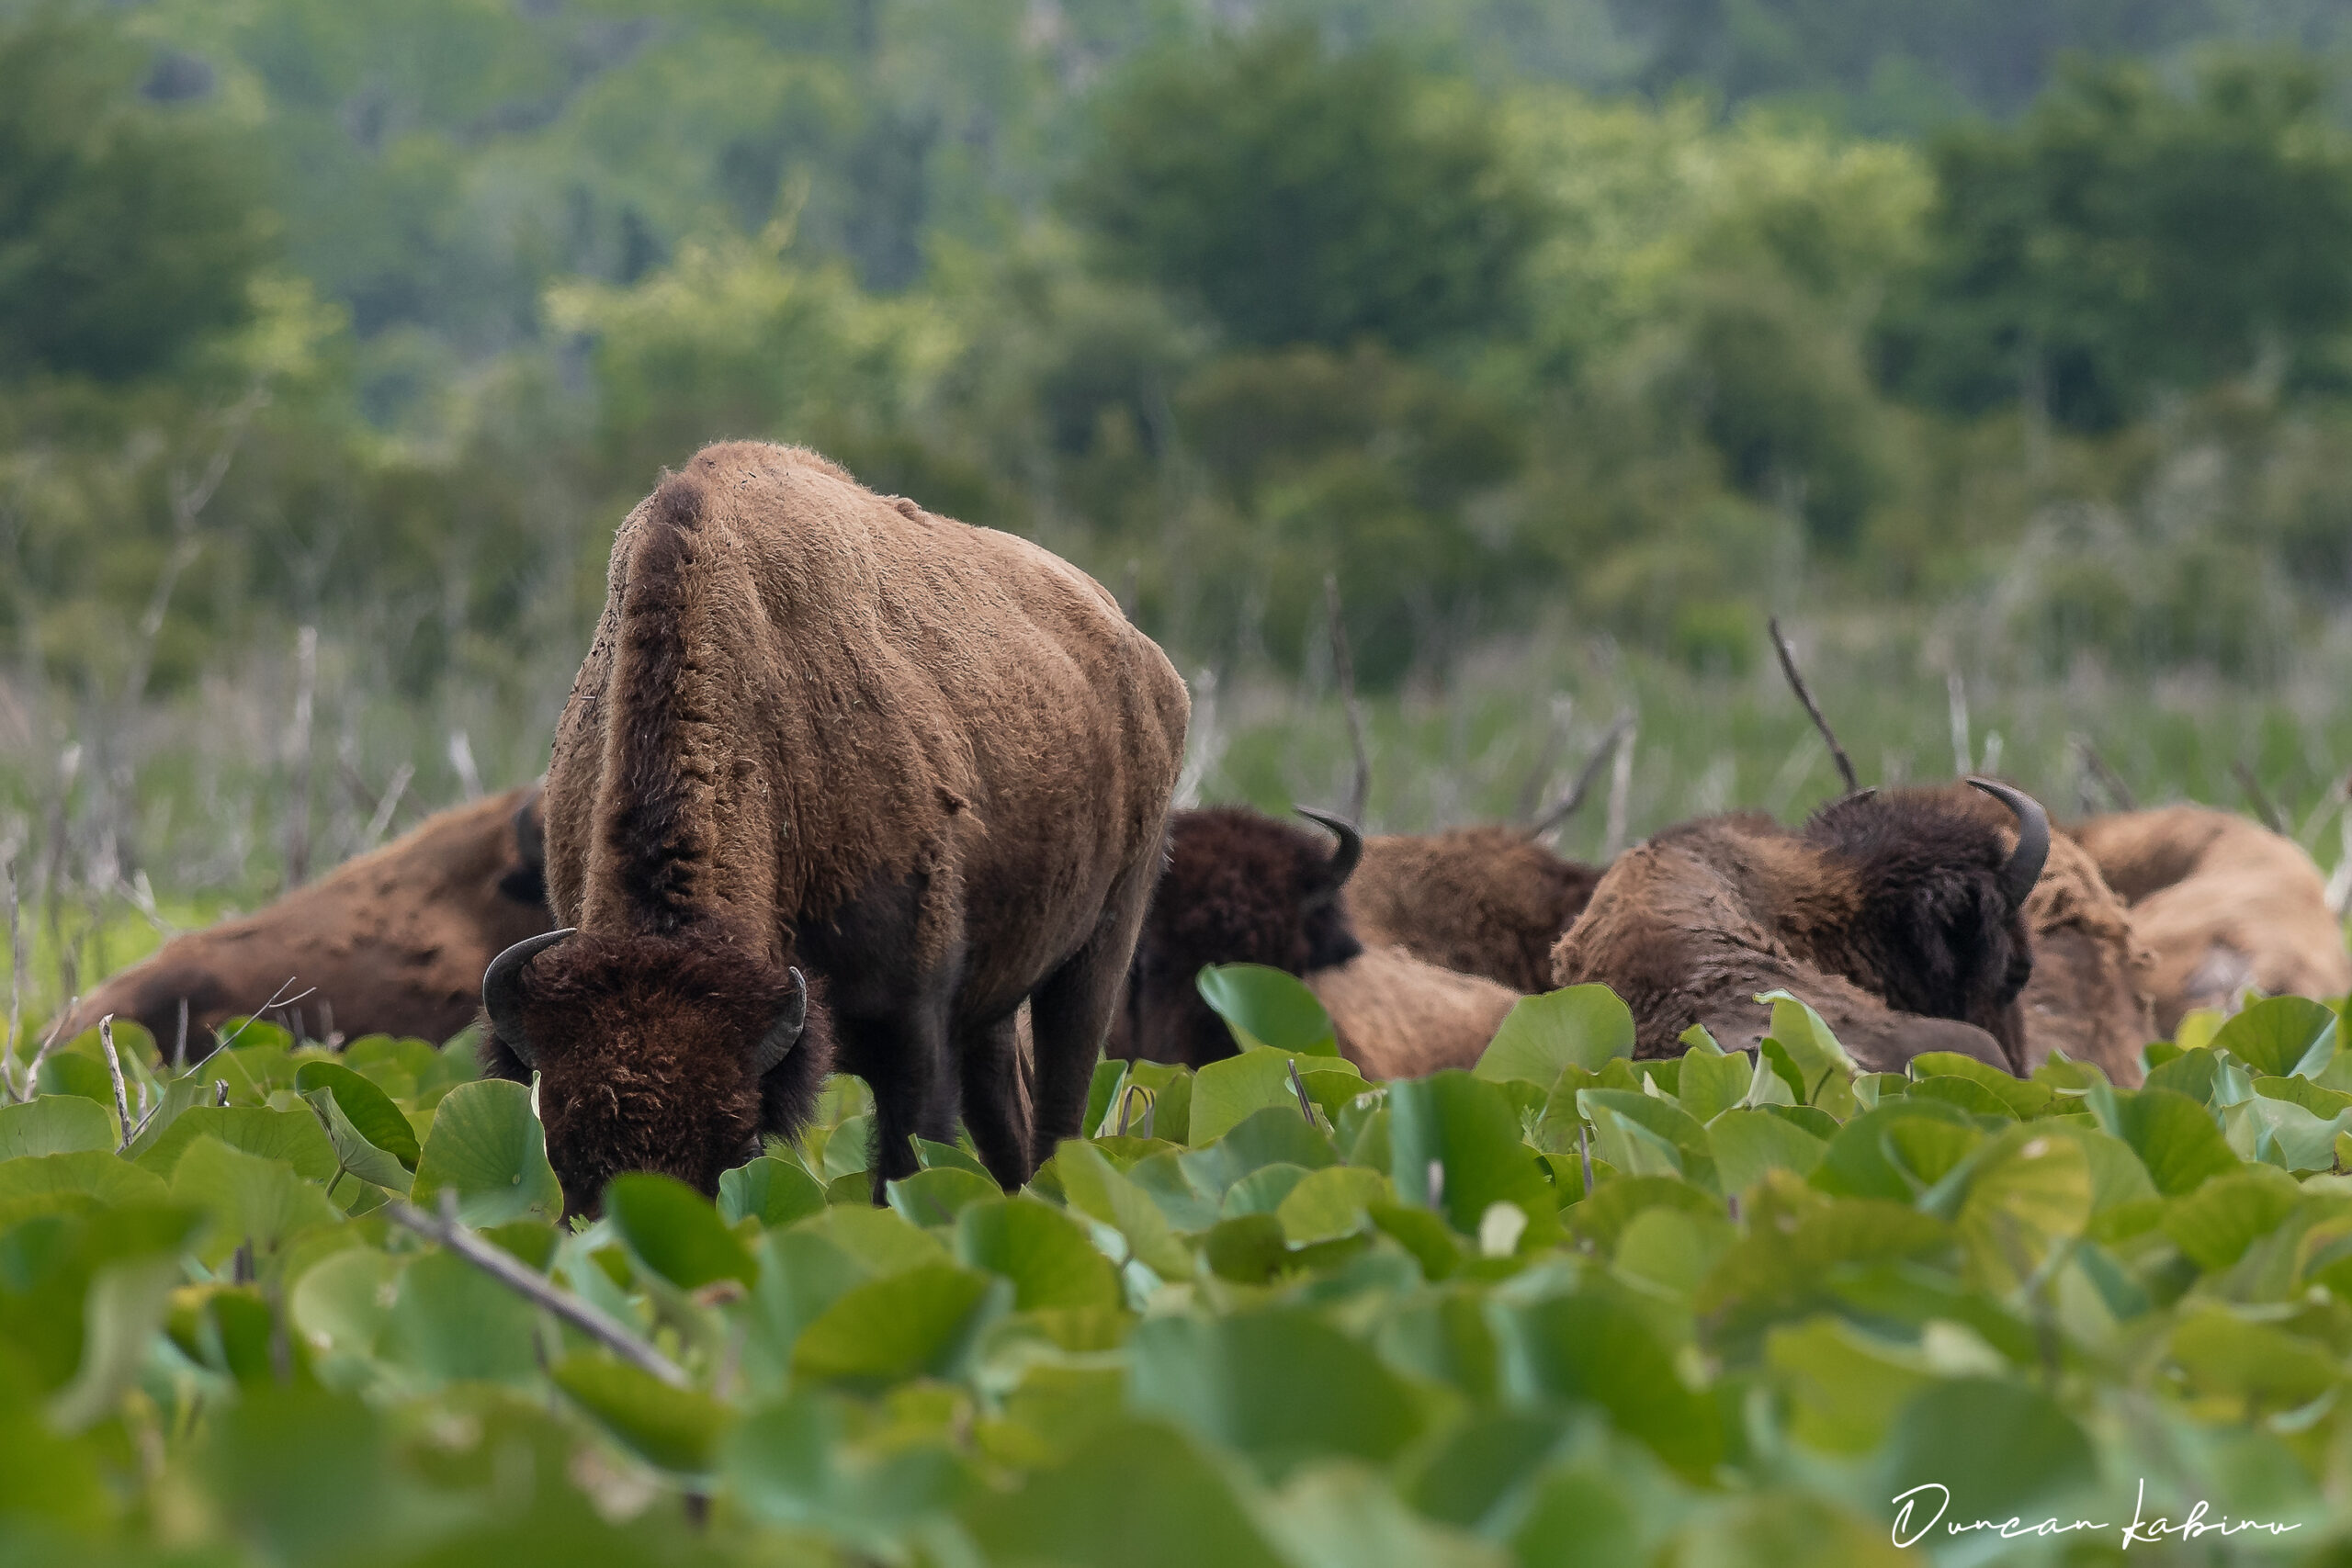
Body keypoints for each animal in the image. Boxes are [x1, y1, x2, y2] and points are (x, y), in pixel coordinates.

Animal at [477, 444, 1185, 1213]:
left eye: (737, 1152)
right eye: (562, 1160)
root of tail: (1151, 665)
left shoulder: (913, 1034)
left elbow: (905, 1173)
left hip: (1099, 953)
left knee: (1062, 1119)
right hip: (995, 1008)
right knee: (1011, 1136)